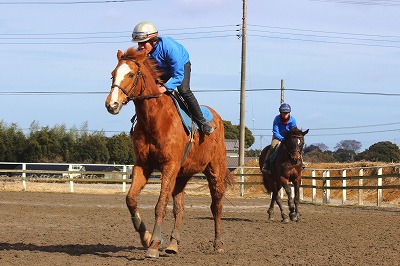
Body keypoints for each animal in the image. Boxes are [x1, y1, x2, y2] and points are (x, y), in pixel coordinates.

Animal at [104, 47, 233, 258]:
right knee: (180, 209)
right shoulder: (143, 165)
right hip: (182, 176)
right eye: (113, 74)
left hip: (215, 170)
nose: (111, 104)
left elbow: (160, 205)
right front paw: (146, 236)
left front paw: (154, 244)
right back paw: (173, 244)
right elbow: (130, 199)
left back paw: (218, 244)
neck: (155, 119)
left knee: (216, 206)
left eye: (131, 74)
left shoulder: (169, 166)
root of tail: (216, 117)